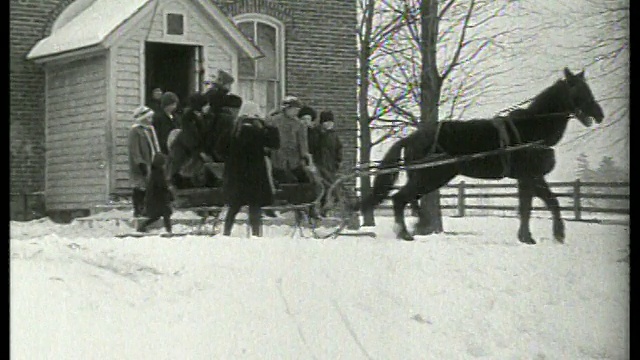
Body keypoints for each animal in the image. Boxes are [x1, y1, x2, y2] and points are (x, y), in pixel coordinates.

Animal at [360, 67, 604, 245]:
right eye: (580, 91)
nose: (599, 114)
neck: (533, 128)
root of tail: (412, 138)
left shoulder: (531, 178)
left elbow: (543, 203)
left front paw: (545, 235)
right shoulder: (529, 177)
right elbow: (533, 206)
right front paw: (536, 237)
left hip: (426, 177)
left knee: (409, 199)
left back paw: (417, 225)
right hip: (431, 176)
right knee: (400, 198)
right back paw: (406, 233)